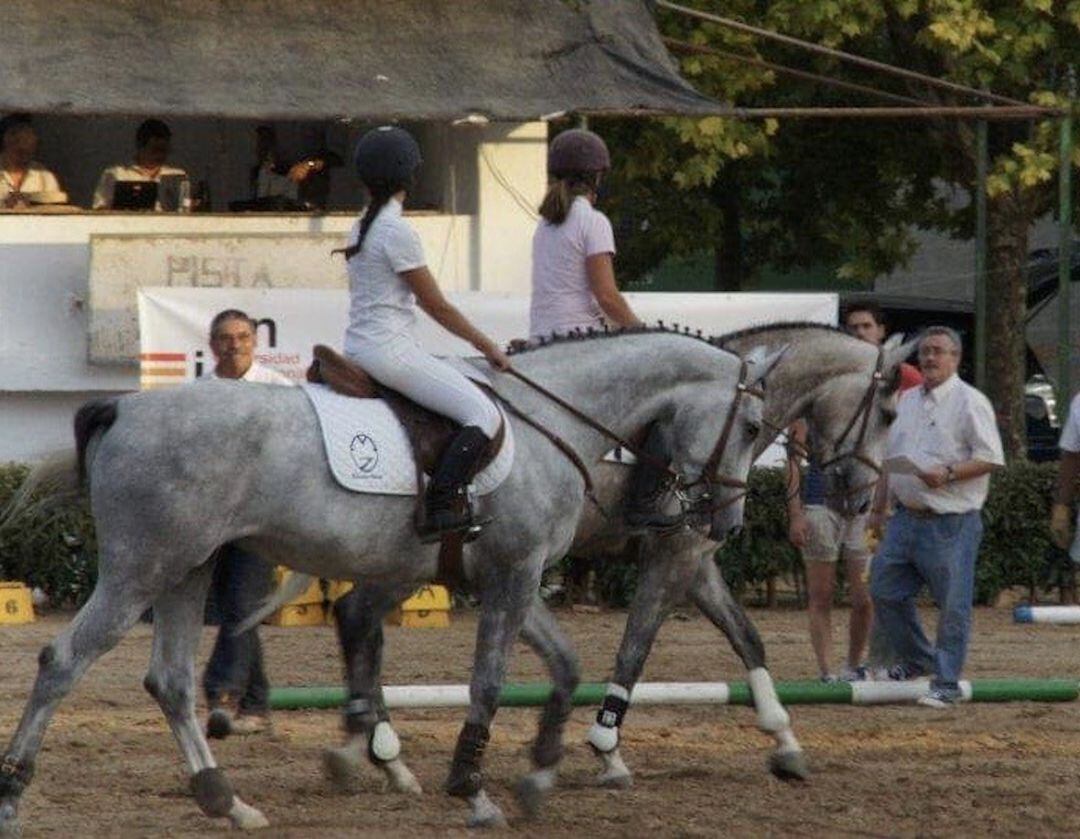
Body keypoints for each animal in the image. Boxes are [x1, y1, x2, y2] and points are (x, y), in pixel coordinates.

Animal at [0, 328, 781, 829]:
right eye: (752, 427)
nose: (727, 522)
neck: (552, 425)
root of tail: (124, 404)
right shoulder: (515, 573)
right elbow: (490, 681)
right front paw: (473, 790)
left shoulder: (511, 575)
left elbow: (564, 665)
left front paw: (538, 772)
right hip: (144, 568)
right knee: (63, 661)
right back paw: (13, 792)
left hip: (188, 569)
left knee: (168, 681)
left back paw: (228, 800)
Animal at [321, 323, 920, 807]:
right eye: (889, 415)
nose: (861, 502)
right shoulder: (675, 557)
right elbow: (636, 648)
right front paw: (607, 748)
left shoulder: (698, 561)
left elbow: (748, 639)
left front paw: (784, 738)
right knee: (360, 618)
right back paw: (382, 749)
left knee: (357, 618)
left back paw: (377, 752)